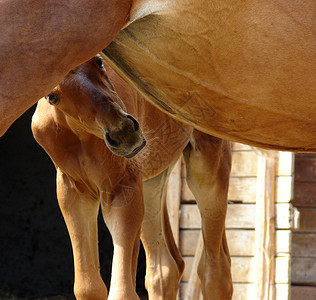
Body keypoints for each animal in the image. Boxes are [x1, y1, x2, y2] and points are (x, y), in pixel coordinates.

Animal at [31, 55, 232, 298]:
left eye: (99, 62)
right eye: (52, 96)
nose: (123, 133)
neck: (78, 134)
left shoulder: (121, 189)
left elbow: (122, 292)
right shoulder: (74, 192)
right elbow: (88, 288)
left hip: (207, 164)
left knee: (215, 270)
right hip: (152, 181)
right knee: (165, 269)